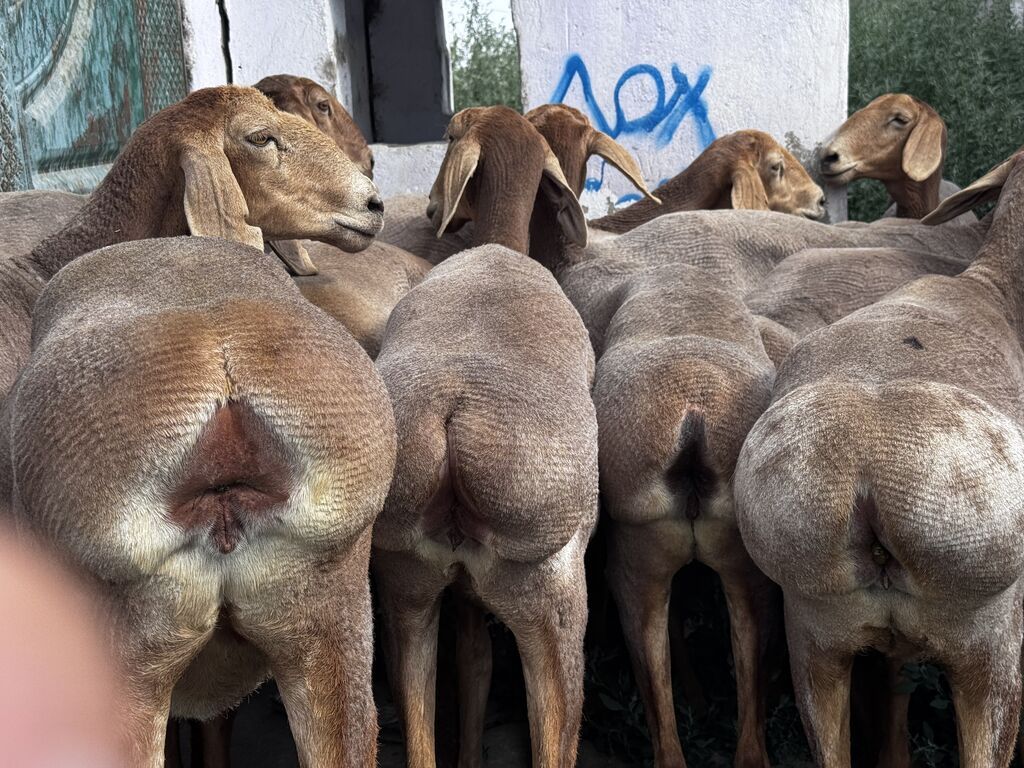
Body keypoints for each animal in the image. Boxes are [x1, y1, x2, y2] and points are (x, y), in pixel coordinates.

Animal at [372, 105, 597, 768]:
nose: (428, 207)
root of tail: (452, 418)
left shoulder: (458, 595)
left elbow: (472, 670)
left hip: (408, 586)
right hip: (549, 603)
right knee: (555, 739)